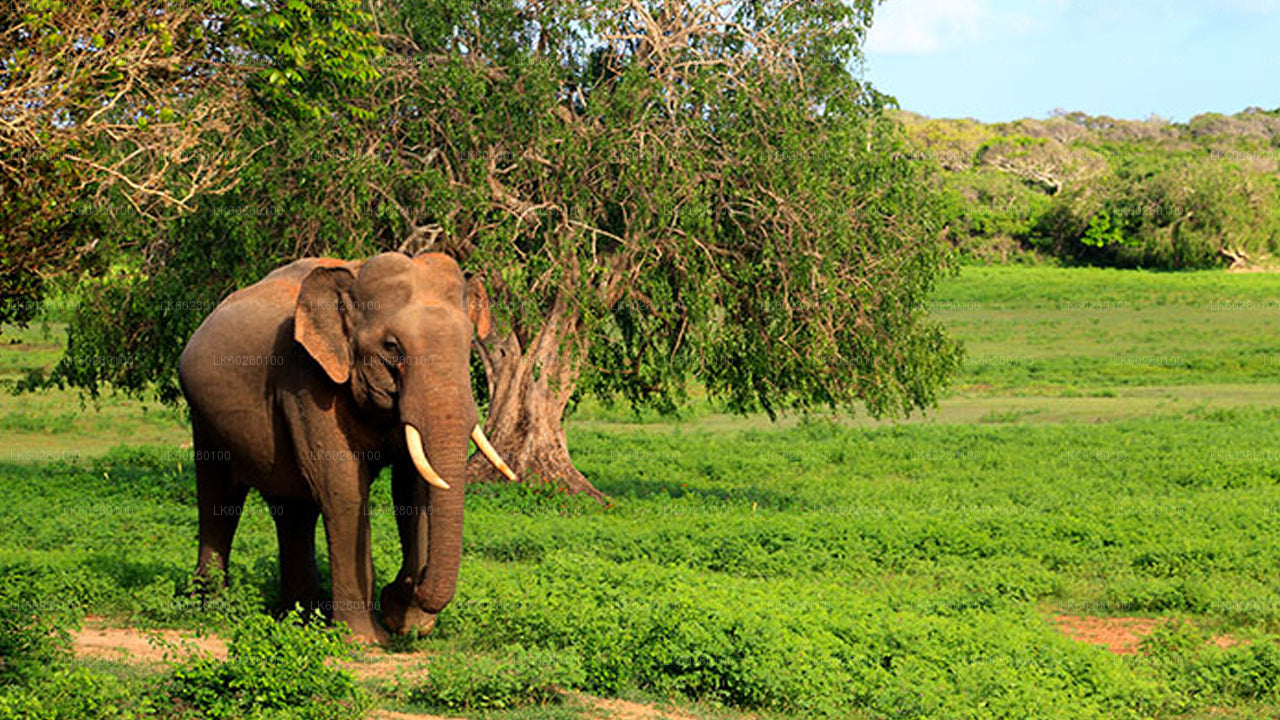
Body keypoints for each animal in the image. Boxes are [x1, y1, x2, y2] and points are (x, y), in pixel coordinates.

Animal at [179, 252, 514, 638]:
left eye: (468, 344)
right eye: (392, 347)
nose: (414, 585)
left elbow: (412, 486)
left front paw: (405, 621)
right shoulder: (307, 378)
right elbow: (342, 488)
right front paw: (365, 639)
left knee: (291, 507)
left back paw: (299, 619)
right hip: (203, 416)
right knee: (219, 497)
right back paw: (213, 609)